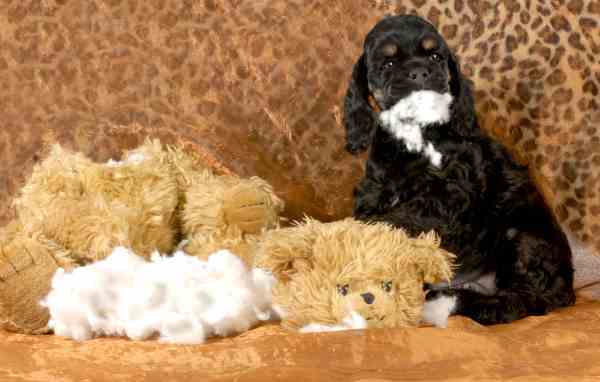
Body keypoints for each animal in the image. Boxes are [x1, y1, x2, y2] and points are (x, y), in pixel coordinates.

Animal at [342, 14, 576, 326]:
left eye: (435, 56)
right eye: (388, 63)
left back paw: (456, 304)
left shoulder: (450, 195)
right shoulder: (375, 191)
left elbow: (397, 220)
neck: (417, 135)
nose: (419, 72)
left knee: (521, 300)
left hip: (523, 237)